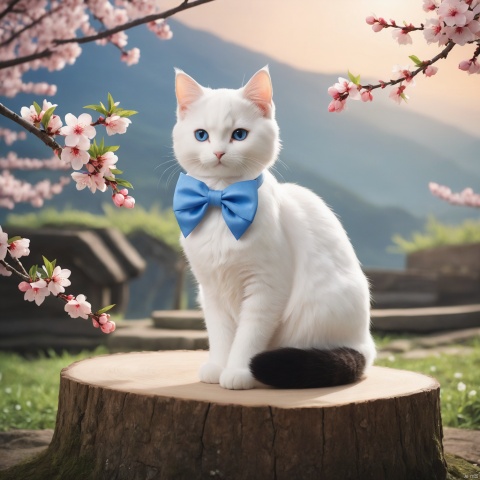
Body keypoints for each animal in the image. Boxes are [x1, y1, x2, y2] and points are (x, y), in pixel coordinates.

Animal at [171, 66, 376, 390]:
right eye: (201, 135)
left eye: (239, 134)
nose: (218, 153)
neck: (221, 203)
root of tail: (366, 345)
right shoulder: (211, 292)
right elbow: (221, 336)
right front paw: (218, 366)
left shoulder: (265, 290)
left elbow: (247, 338)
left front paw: (238, 371)